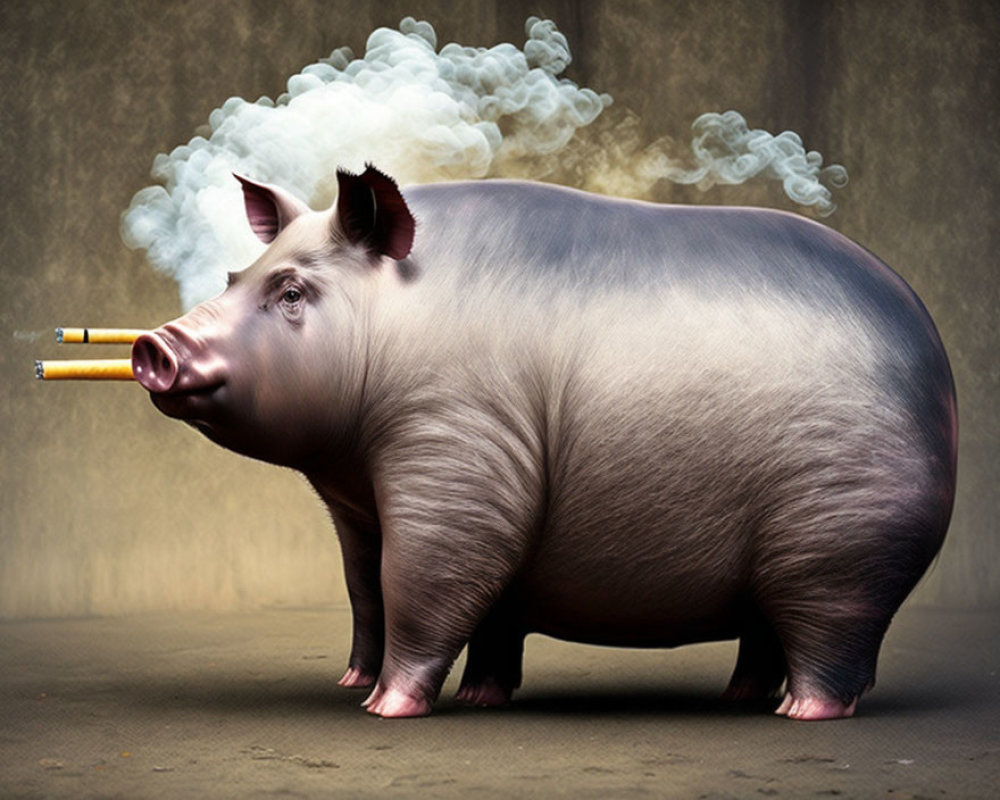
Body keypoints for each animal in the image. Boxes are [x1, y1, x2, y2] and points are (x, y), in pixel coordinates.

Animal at [131, 165, 957, 720]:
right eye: (235, 276)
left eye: (292, 292)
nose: (154, 343)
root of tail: (940, 374)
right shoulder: (361, 507)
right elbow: (370, 591)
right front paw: (421, 692)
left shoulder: (461, 456)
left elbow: (417, 585)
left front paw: (385, 708)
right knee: (765, 638)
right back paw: (742, 697)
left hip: (844, 542)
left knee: (831, 641)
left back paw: (800, 713)